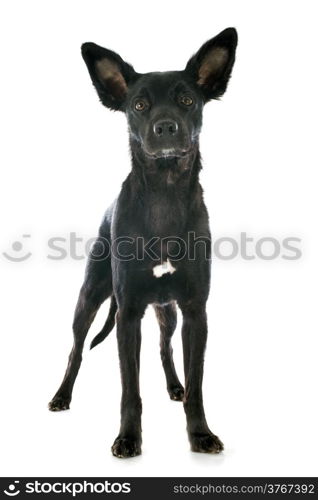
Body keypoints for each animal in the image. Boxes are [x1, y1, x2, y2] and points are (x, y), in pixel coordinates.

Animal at [48, 26, 237, 458]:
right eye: (138, 105)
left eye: (187, 99)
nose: (165, 127)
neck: (164, 192)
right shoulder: (128, 313)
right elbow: (129, 388)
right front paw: (128, 438)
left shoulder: (195, 312)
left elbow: (197, 384)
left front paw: (200, 434)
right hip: (90, 297)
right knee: (75, 349)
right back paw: (62, 395)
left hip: (167, 311)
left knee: (166, 348)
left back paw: (174, 385)